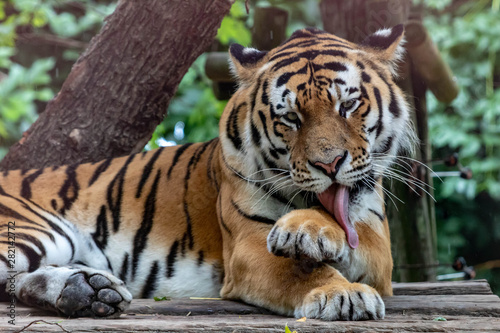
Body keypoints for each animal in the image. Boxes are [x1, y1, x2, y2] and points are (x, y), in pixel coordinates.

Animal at [0, 24, 414, 320]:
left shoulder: (377, 236)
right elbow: (300, 271)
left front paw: (307, 231)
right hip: (39, 228)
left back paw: (87, 291)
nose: (329, 165)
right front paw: (340, 292)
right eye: (291, 118)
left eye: (349, 105)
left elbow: (353, 235)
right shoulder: (247, 243)